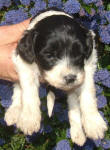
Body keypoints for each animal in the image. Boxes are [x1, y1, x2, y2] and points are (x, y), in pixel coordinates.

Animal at [4, 7, 107, 145]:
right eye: (50, 55)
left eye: (79, 54)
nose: (70, 78)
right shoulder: (24, 62)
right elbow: (29, 90)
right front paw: (29, 119)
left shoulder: (87, 67)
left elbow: (88, 94)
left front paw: (94, 124)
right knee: (17, 89)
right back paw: (13, 112)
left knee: (73, 106)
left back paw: (78, 134)